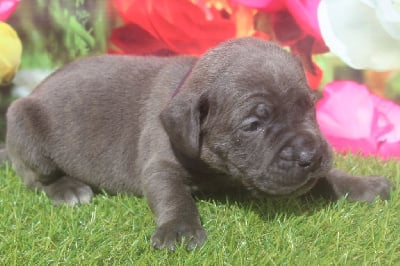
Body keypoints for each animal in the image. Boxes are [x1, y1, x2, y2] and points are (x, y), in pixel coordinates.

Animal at [4, 37, 392, 249]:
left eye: (310, 108)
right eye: (253, 125)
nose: (310, 155)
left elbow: (328, 177)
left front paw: (361, 184)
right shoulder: (159, 165)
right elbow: (172, 195)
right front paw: (178, 228)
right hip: (23, 123)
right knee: (34, 178)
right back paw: (67, 189)